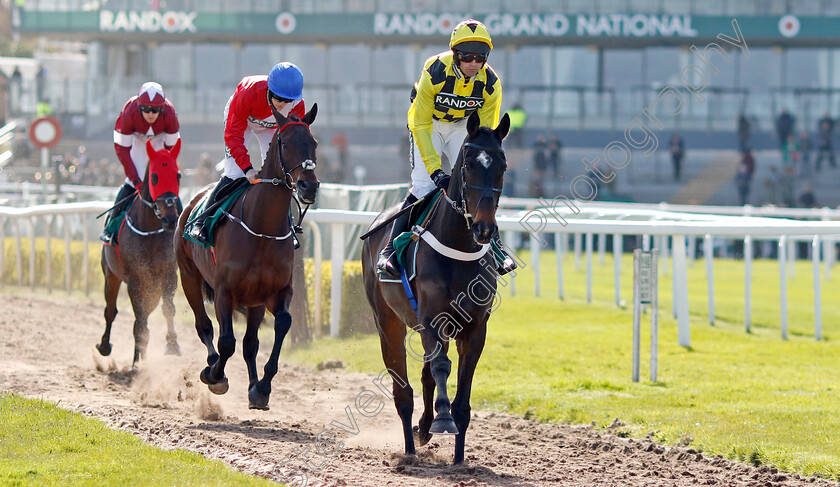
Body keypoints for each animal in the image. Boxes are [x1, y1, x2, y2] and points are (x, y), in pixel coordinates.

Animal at [98, 139, 184, 368]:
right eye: (154, 177)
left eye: (178, 176)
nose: (171, 219)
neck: (151, 229)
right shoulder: (135, 279)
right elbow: (139, 317)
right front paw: (137, 360)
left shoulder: (169, 274)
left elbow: (168, 308)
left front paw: (172, 345)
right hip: (111, 275)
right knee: (111, 311)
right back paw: (106, 347)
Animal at [176, 106, 320, 412]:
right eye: (285, 143)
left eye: (314, 143)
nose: (308, 187)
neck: (262, 228)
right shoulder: (224, 291)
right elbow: (226, 342)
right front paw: (215, 376)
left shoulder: (278, 291)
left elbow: (281, 324)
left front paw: (262, 387)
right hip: (189, 276)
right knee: (204, 326)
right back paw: (211, 365)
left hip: (255, 302)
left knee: (250, 343)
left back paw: (254, 387)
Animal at [360, 111, 508, 466]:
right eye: (467, 166)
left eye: (503, 165)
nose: (485, 229)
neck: (458, 248)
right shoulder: (430, 319)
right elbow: (441, 366)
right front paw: (442, 421)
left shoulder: (474, 327)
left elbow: (461, 390)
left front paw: (458, 457)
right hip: (388, 322)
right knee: (403, 391)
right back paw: (410, 450)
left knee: (426, 374)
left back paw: (423, 429)